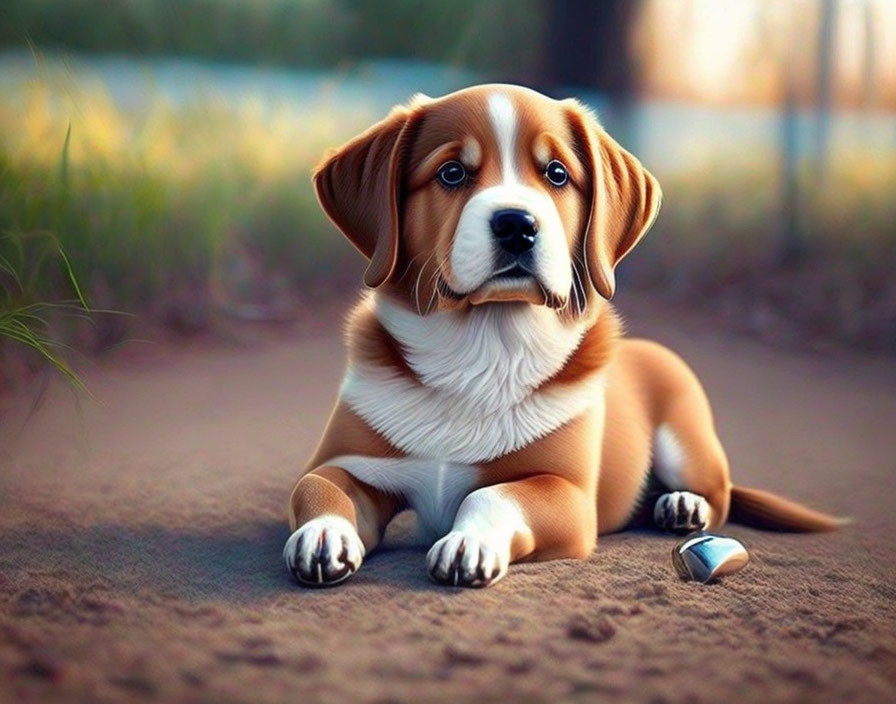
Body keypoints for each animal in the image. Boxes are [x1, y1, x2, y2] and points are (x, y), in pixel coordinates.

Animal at [284, 82, 844, 588]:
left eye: (556, 174)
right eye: (452, 172)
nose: (516, 224)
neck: (483, 347)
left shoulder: (567, 494)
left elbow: (490, 493)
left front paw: (469, 543)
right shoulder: (347, 462)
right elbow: (317, 487)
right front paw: (324, 534)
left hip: (687, 444)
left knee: (718, 494)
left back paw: (682, 505)